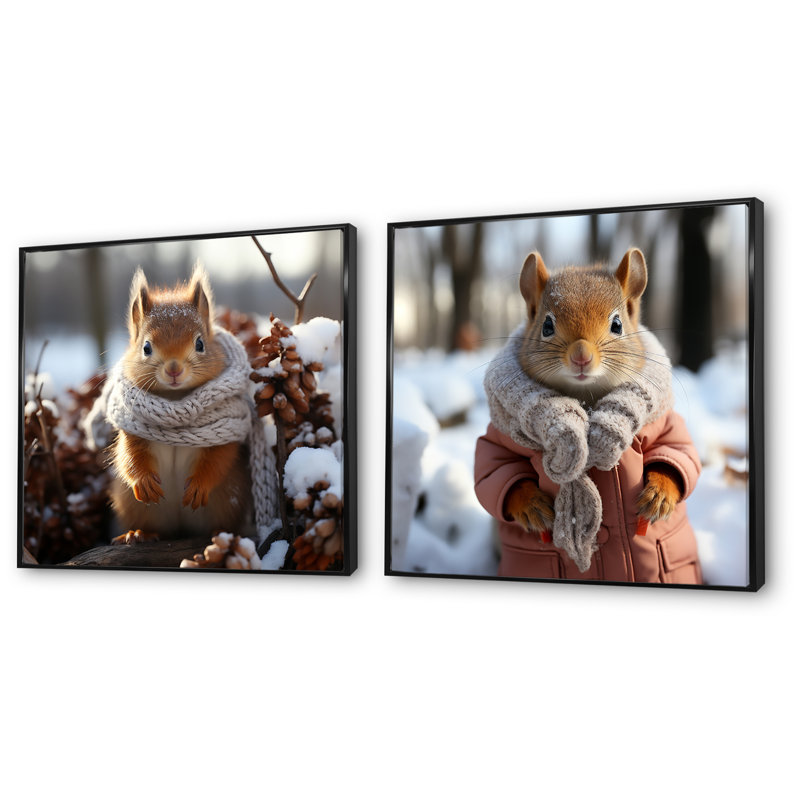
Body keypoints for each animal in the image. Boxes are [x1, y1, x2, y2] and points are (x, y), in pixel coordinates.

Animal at [109, 265, 251, 544]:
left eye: (200, 344)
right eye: (146, 347)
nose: (174, 369)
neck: (175, 399)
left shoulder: (224, 431)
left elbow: (219, 458)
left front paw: (199, 486)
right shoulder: (132, 431)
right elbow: (130, 455)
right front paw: (143, 482)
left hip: (228, 500)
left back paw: (221, 533)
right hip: (136, 507)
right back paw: (139, 533)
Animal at [503, 247, 683, 537]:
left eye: (617, 324)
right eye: (547, 326)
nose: (581, 356)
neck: (586, 396)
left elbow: (674, 450)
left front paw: (659, 495)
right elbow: (501, 468)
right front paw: (530, 505)